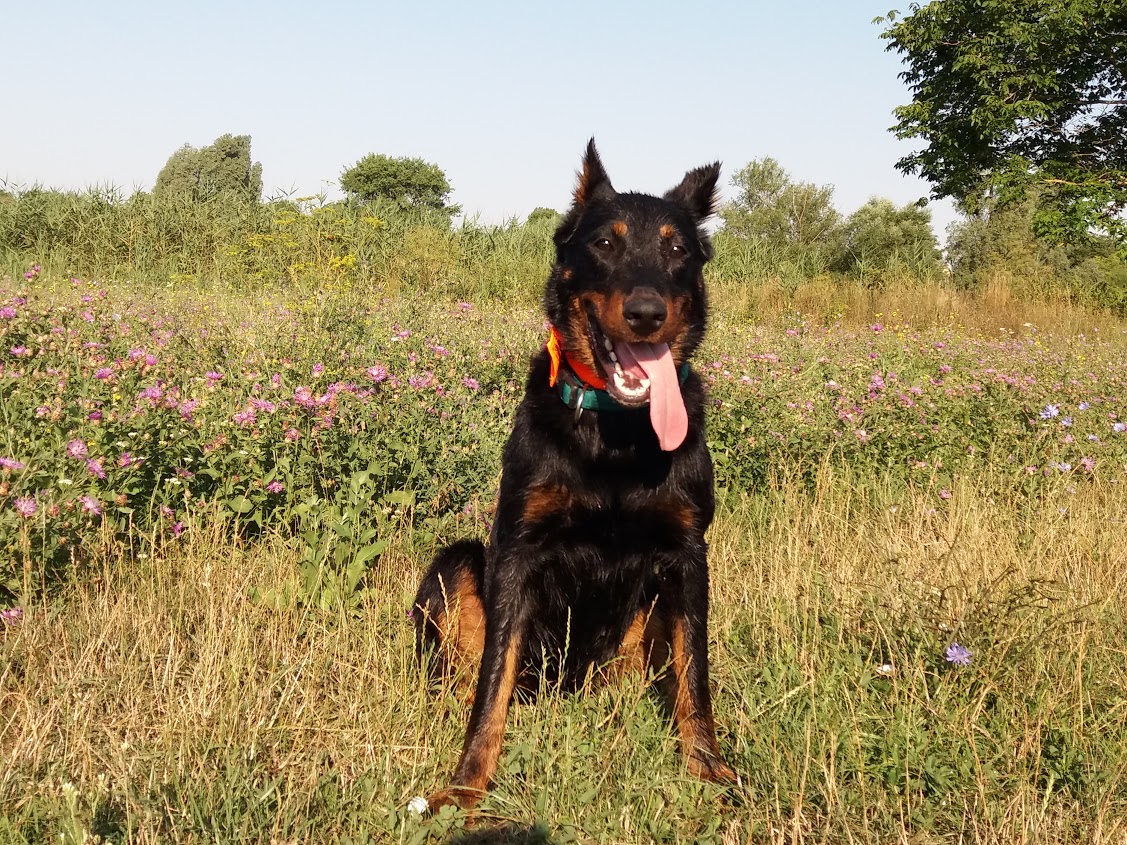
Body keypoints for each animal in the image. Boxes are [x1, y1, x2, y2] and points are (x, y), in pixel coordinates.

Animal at [410, 140, 734, 815]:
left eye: (677, 250)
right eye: (605, 243)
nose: (646, 313)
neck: (617, 434)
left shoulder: (688, 556)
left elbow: (695, 676)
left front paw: (710, 771)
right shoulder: (517, 549)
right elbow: (491, 683)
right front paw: (468, 783)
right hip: (456, 562)